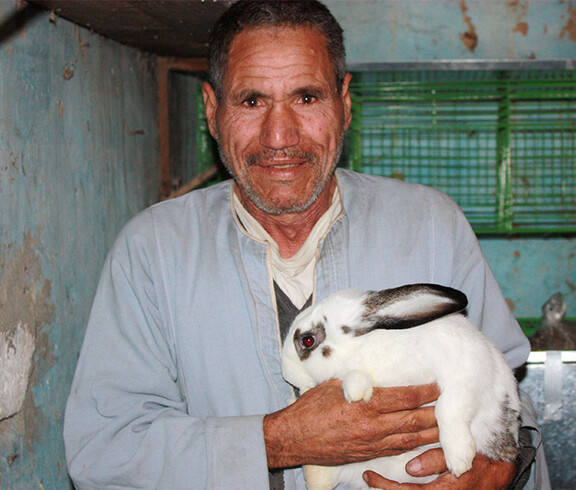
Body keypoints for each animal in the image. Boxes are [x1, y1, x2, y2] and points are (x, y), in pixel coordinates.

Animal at [282, 284, 520, 490]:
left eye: (308, 341)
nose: (287, 373)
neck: (365, 345)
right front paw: (356, 390)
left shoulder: (468, 374)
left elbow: (447, 408)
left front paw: (459, 459)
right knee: (321, 478)